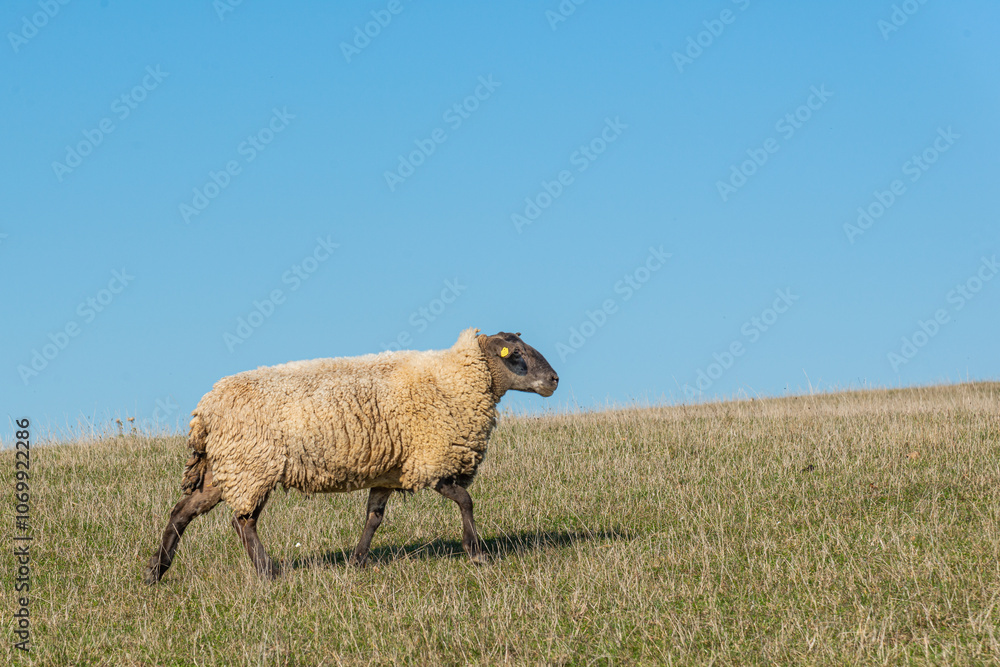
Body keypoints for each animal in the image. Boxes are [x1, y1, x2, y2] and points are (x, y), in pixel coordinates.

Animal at [144, 328, 559, 583]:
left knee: (182, 512)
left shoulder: (390, 472)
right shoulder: (429, 461)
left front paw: (357, 562)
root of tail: (206, 407)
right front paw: (477, 553)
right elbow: (466, 500)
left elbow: (373, 518)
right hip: (252, 466)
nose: (554, 380)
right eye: (515, 354)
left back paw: (155, 572)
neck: (453, 380)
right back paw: (268, 572)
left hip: (225, 467)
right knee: (242, 523)